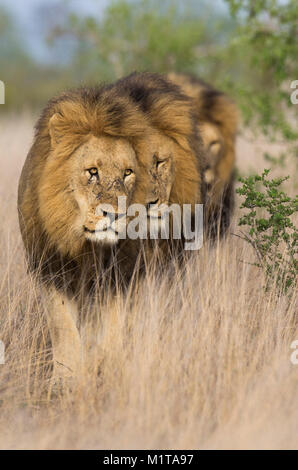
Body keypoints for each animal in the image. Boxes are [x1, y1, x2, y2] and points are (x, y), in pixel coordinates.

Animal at [18, 72, 205, 382]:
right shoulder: (51, 269)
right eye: (92, 172)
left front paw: (106, 368)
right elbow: (63, 327)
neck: (84, 244)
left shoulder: (119, 276)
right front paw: (66, 379)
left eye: (128, 172)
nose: (117, 214)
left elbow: (113, 329)